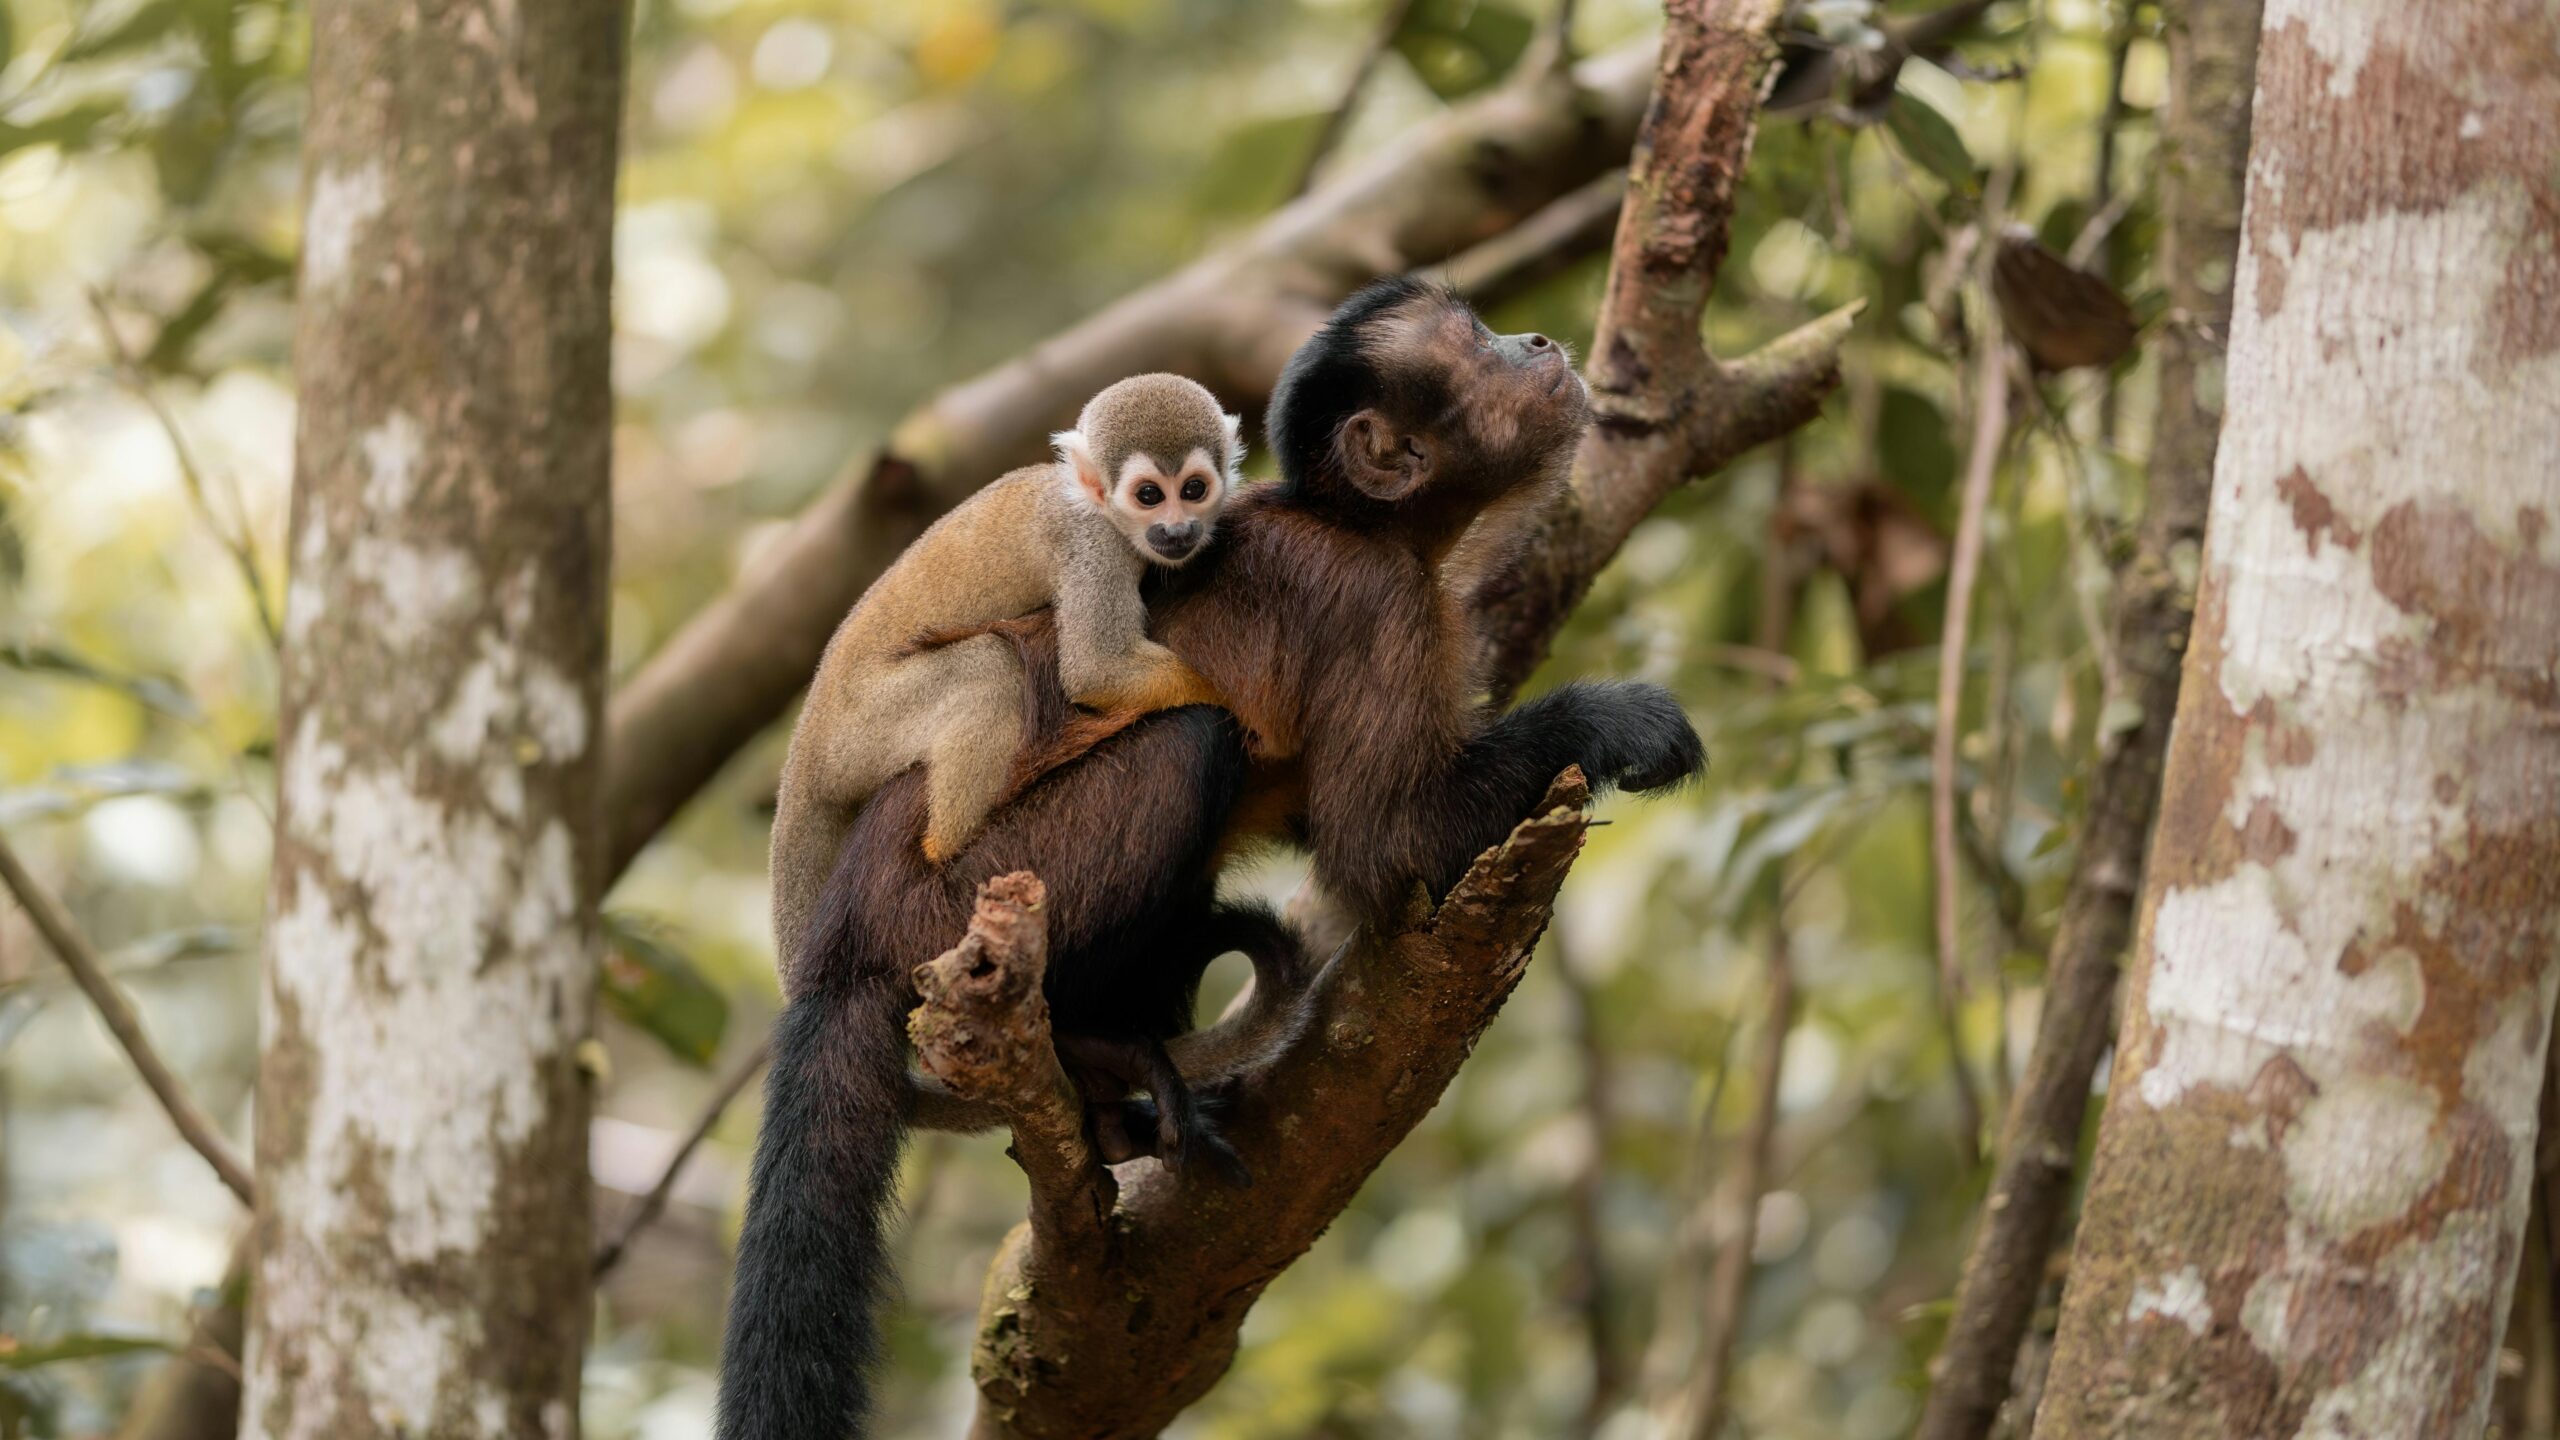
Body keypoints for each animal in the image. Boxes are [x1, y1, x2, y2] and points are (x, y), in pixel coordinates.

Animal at [768, 373, 1246, 995]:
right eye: (1148, 495)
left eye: (1193, 489)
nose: (1177, 529)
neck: (1100, 510)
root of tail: (806, 748)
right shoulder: (1091, 549)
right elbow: (1096, 667)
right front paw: (1228, 697)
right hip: (861, 731)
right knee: (988, 673)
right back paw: (948, 848)